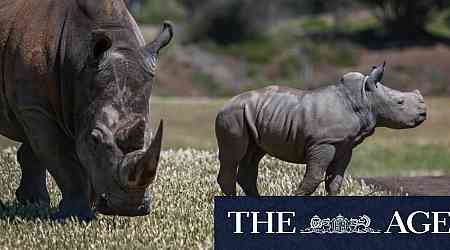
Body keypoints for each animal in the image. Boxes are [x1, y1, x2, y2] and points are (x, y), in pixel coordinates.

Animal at [0, 0, 172, 219]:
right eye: (95, 139)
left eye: (150, 137)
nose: (129, 208)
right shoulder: (35, 109)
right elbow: (62, 159)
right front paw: (78, 214)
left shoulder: (47, 107)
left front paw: (41, 204)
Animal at [216, 62, 428, 195]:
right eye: (400, 102)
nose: (424, 113)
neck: (363, 97)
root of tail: (224, 104)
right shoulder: (323, 142)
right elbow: (314, 177)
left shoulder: (344, 145)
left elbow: (335, 180)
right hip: (232, 116)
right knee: (233, 156)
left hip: (251, 116)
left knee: (253, 154)